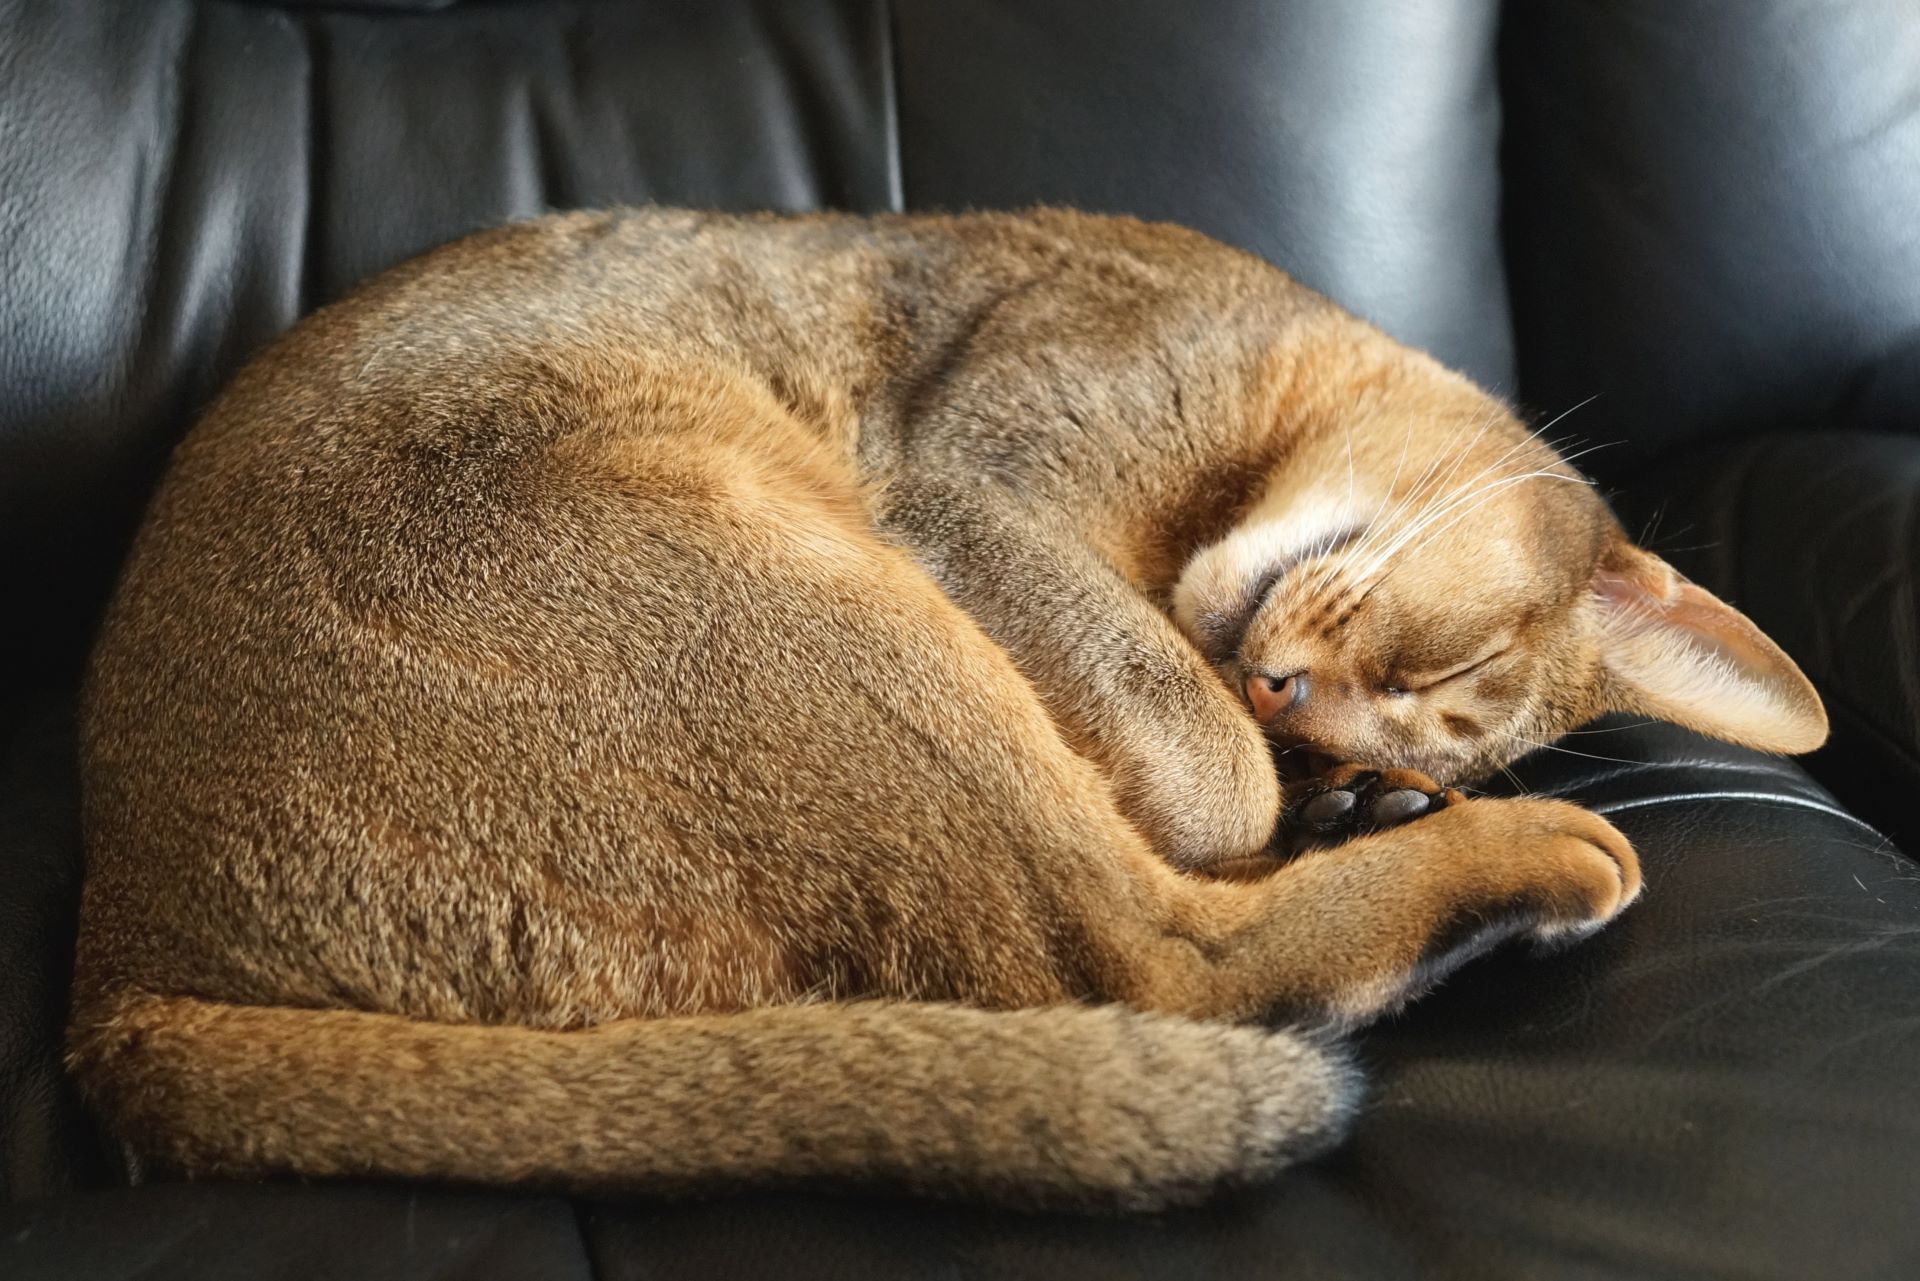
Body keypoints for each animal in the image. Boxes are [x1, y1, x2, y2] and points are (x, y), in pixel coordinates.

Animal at [67, 205, 1820, 1206]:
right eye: (1440, 670)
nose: (1295, 700)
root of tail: (123, 977)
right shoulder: (971, 485)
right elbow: (1204, 773)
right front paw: (1270, 777)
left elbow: (1218, 778)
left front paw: (1338, 789)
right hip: (796, 590)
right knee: (1151, 963)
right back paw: (1527, 862)